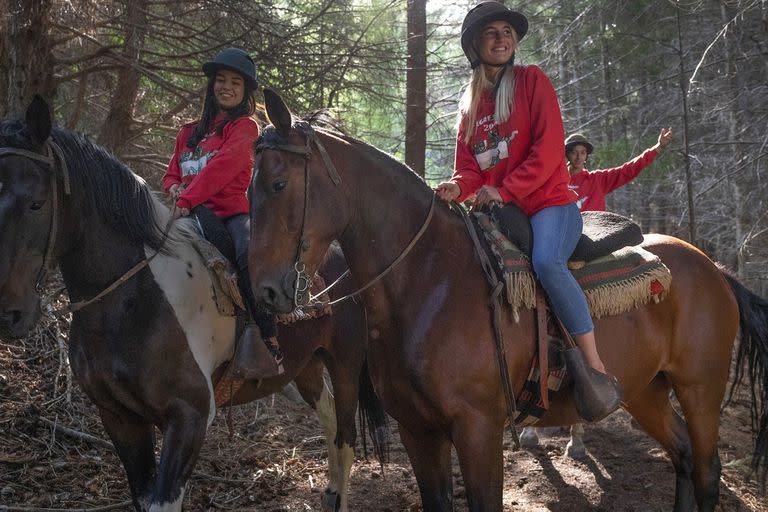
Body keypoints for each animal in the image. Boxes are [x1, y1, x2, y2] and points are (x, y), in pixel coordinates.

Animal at [0, 97, 388, 512]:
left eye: (37, 203)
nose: (10, 314)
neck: (133, 300)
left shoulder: (190, 416)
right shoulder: (119, 418)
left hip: (344, 363)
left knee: (346, 436)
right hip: (306, 366)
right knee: (330, 421)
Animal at [246, 89, 768, 512]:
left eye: (278, 184)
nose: (265, 290)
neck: (429, 282)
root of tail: (713, 268)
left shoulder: (479, 429)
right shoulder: (418, 431)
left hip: (700, 387)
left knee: (707, 471)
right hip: (646, 389)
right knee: (682, 455)